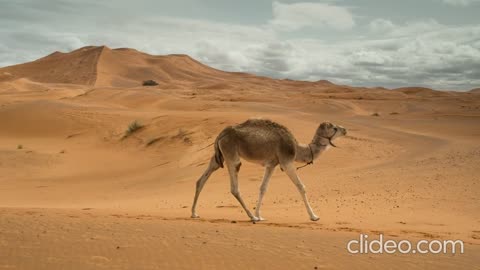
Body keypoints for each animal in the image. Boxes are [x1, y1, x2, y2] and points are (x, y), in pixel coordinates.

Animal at [190, 118, 344, 221]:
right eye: (334, 128)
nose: (345, 129)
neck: (297, 148)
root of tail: (220, 135)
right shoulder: (286, 161)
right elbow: (301, 186)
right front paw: (314, 216)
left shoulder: (271, 164)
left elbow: (263, 188)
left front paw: (259, 215)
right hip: (231, 154)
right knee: (234, 187)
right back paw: (251, 217)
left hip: (218, 156)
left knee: (201, 180)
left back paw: (194, 213)